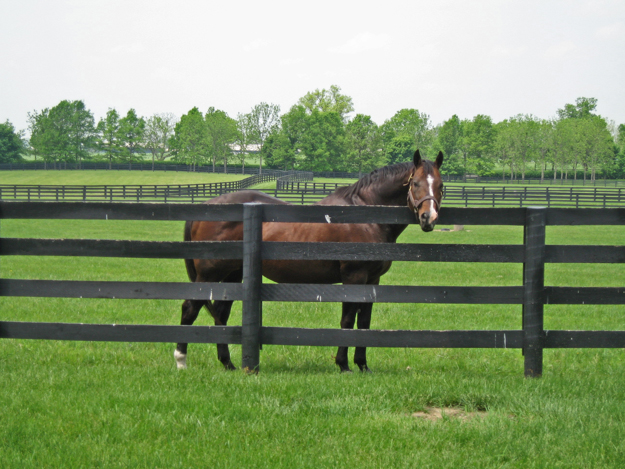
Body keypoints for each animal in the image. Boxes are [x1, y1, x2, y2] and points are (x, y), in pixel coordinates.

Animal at [176, 148, 444, 372]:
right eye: (416, 183)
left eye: (441, 186)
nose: (428, 218)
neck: (364, 216)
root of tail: (207, 206)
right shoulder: (354, 277)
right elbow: (348, 320)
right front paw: (343, 365)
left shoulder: (372, 281)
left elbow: (364, 322)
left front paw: (362, 366)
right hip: (209, 274)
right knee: (190, 308)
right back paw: (181, 361)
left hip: (231, 275)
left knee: (221, 314)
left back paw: (228, 363)